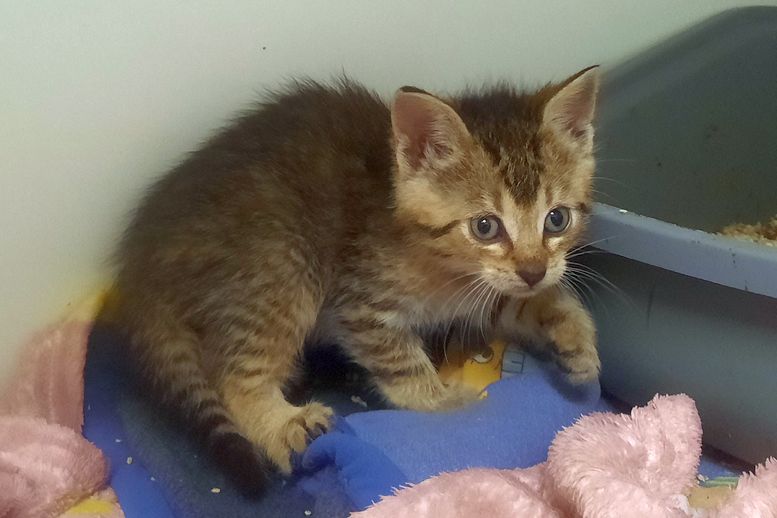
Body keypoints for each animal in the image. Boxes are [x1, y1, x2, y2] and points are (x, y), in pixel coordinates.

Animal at [111, 66, 601, 495]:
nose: (534, 270)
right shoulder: (357, 300)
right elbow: (401, 362)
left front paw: (573, 336)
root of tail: (140, 267)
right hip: (281, 265)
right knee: (233, 374)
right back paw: (280, 422)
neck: (448, 270)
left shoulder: (488, 290)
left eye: (556, 219)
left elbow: (528, 300)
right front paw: (447, 403)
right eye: (485, 227)